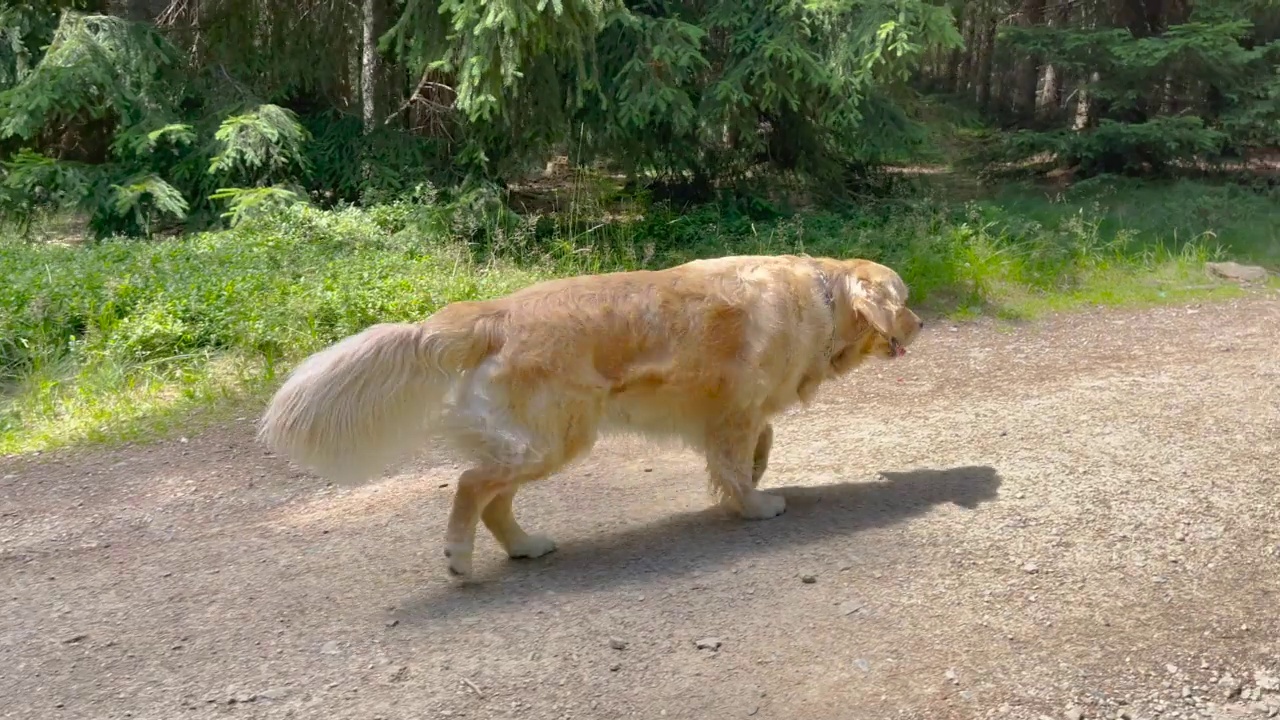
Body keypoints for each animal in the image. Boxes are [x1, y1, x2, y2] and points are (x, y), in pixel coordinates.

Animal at [257, 252, 921, 571]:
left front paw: (752, 481)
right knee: (471, 484)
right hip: (556, 438)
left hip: (537, 442)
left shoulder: (738, 413)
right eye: (906, 298)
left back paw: (524, 546)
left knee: (494, 498)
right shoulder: (733, 409)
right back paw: (459, 555)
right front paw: (756, 505)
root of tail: (490, 313)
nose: (921, 323)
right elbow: (739, 461)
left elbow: (762, 442)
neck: (823, 298)